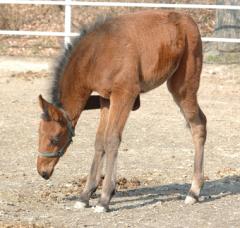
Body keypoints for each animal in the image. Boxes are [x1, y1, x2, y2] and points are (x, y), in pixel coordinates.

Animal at [37, 10, 206, 213]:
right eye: (38, 134)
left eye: (54, 139)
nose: (42, 171)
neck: (95, 54)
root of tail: (190, 21)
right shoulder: (105, 98)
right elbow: (100, 141)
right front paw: (86, 195)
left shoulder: (125, 94)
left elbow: (112, 139)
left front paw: (104, 199)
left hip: (183, 87)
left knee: (198, 125)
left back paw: (193, 192)